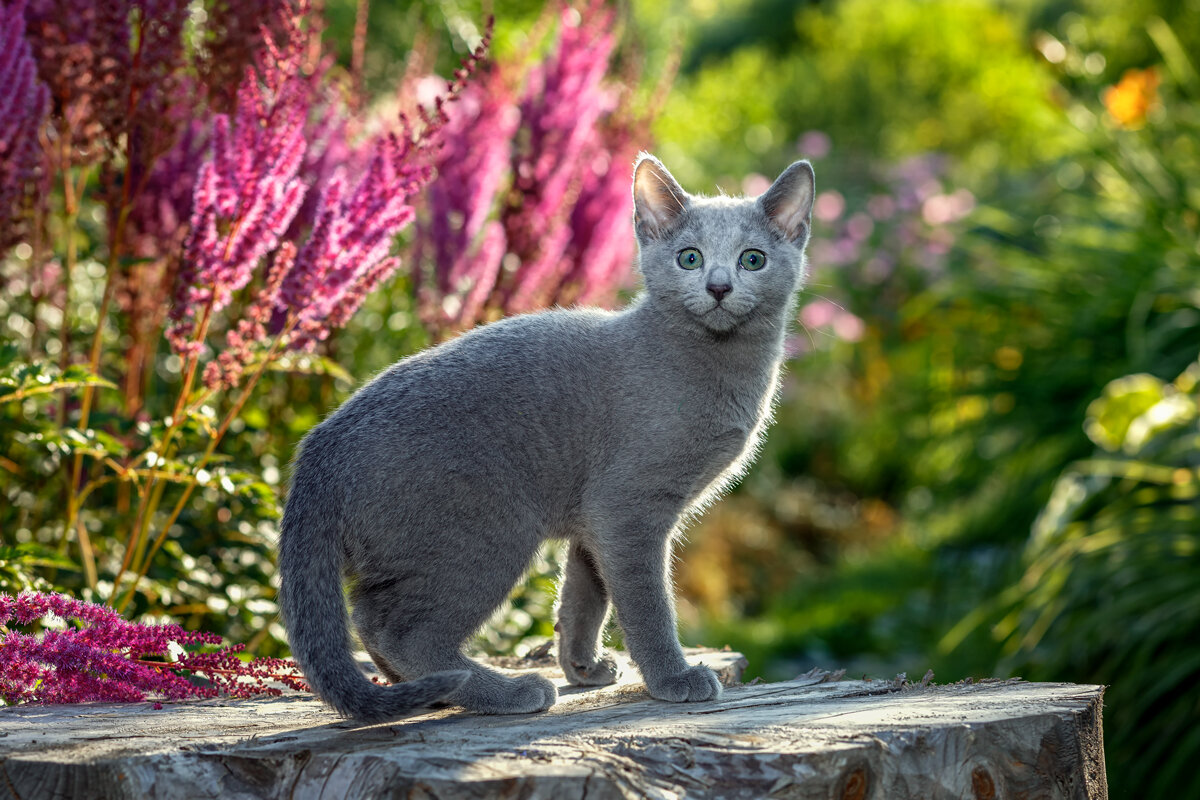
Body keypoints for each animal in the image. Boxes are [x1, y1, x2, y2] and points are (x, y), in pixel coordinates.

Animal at [278, 153, 816, 724]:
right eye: (689, 258)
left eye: (753, 259)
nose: (718, 287)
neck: (715, 362)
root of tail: (320, 447)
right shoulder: (627, 506)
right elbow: (646, 602)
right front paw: (672, 678)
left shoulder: (594, 517)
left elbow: (585, 594)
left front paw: (584, 666)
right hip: (488, 530)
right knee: (401, 631)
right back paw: (503, 692)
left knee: (371, 614)